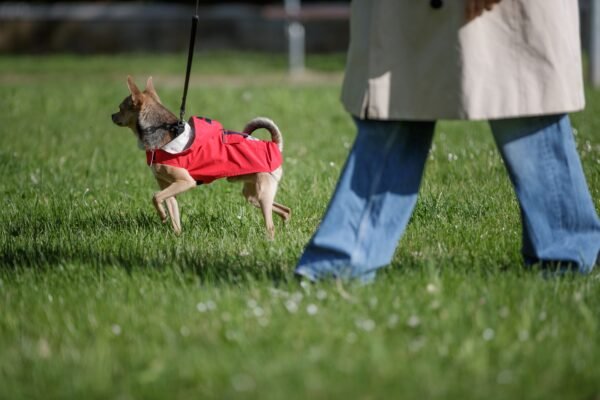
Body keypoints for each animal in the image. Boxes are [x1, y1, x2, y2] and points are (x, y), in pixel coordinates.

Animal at [112, 75, 290, 239]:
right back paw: (286, 226)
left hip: (263, 192)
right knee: (285, 210)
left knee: (270, 225)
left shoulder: (186, 182)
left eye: (120, 108)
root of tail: (274, 145)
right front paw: (177, 237)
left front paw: (162, 216)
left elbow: (155, 197)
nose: (112, 115)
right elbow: (172, 213)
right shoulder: (168, 187)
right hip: (252, 194)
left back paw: (270, 239)